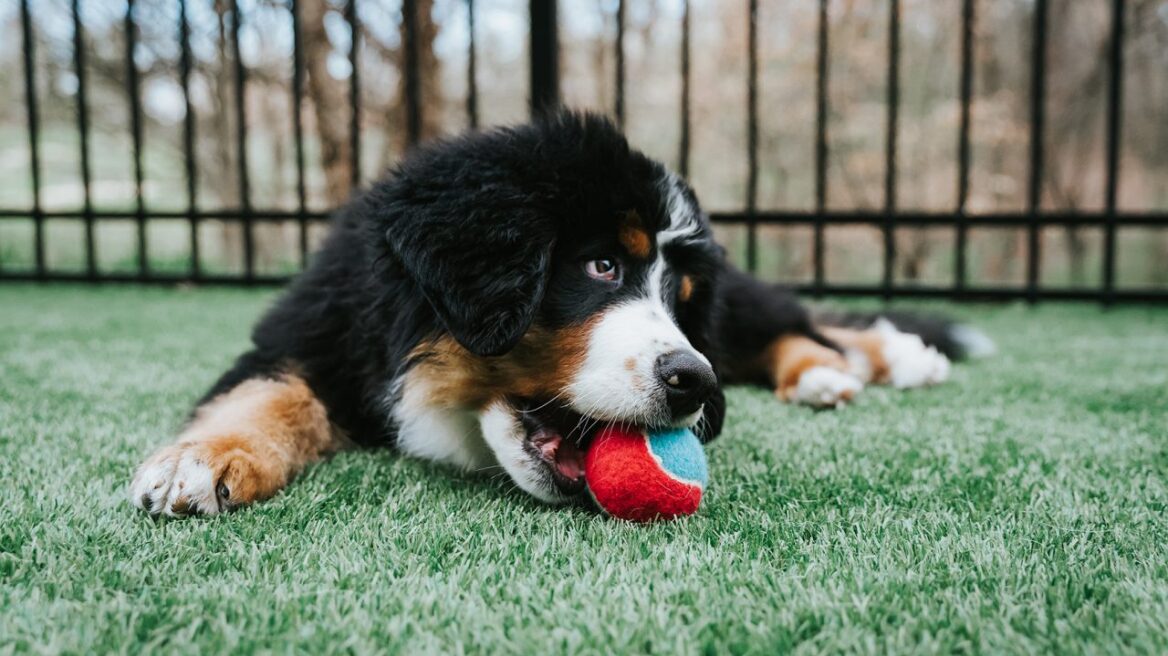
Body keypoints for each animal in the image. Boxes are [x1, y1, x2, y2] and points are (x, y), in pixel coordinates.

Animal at [130, 109, 985, 513]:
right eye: (602, 265)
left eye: (677, 298)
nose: (692, 382)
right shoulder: (315, 325)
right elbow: (270, 390)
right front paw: (199, 460)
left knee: (789, 324)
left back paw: (860, 365)